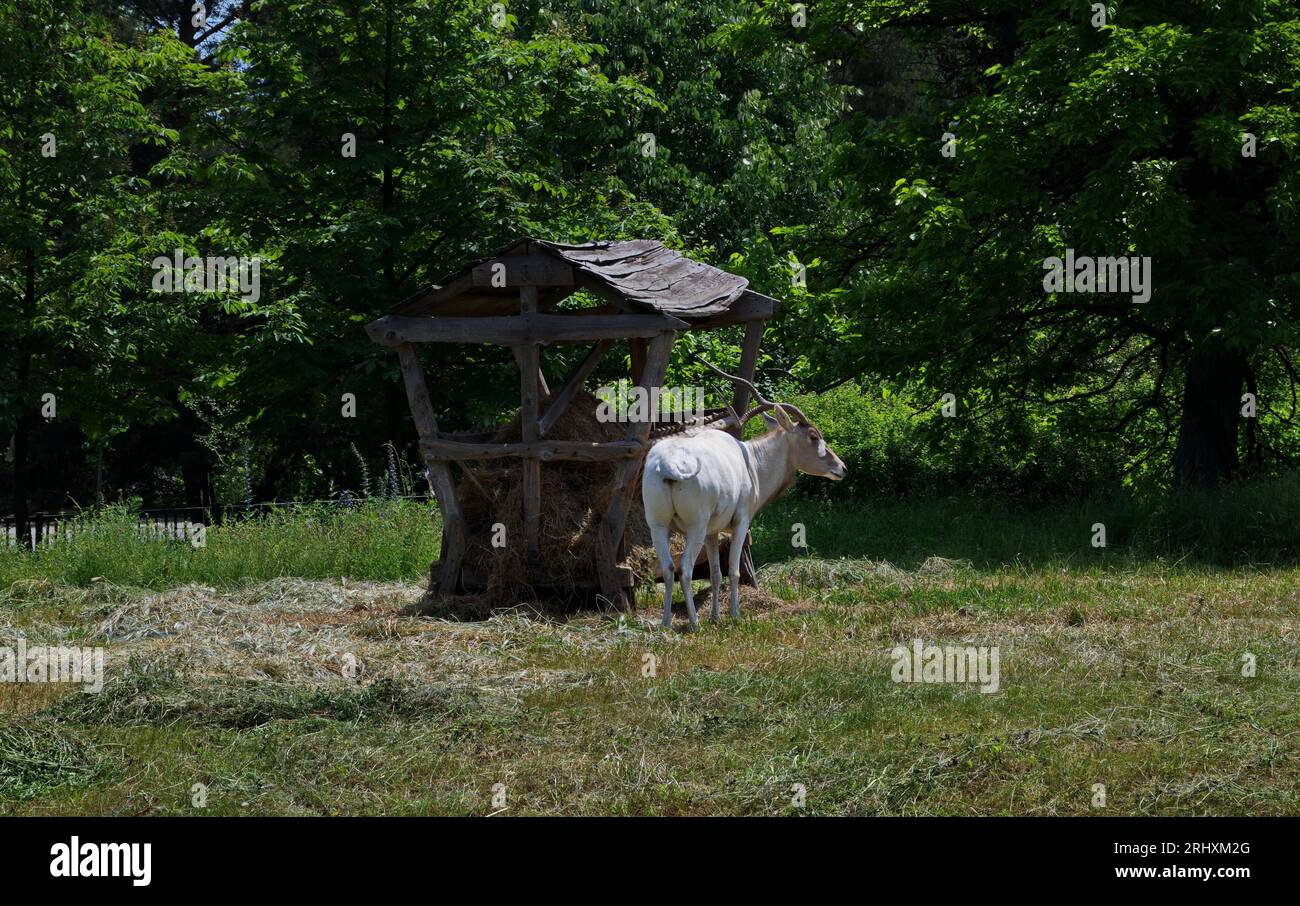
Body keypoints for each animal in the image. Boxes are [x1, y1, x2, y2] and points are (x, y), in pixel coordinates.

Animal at [637, 366, 842, 629]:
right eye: (814, 436)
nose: (841, 468)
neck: (751, 461)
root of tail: (667, 465)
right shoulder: (741, 521)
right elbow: (733, 571)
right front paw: (735, 615)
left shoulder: (712, 532)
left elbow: (715, 573)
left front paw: (715, 617)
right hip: (695, 526)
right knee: (684, 568)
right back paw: (693, 623)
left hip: (658, 525)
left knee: (668, 567)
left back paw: (665, 623)